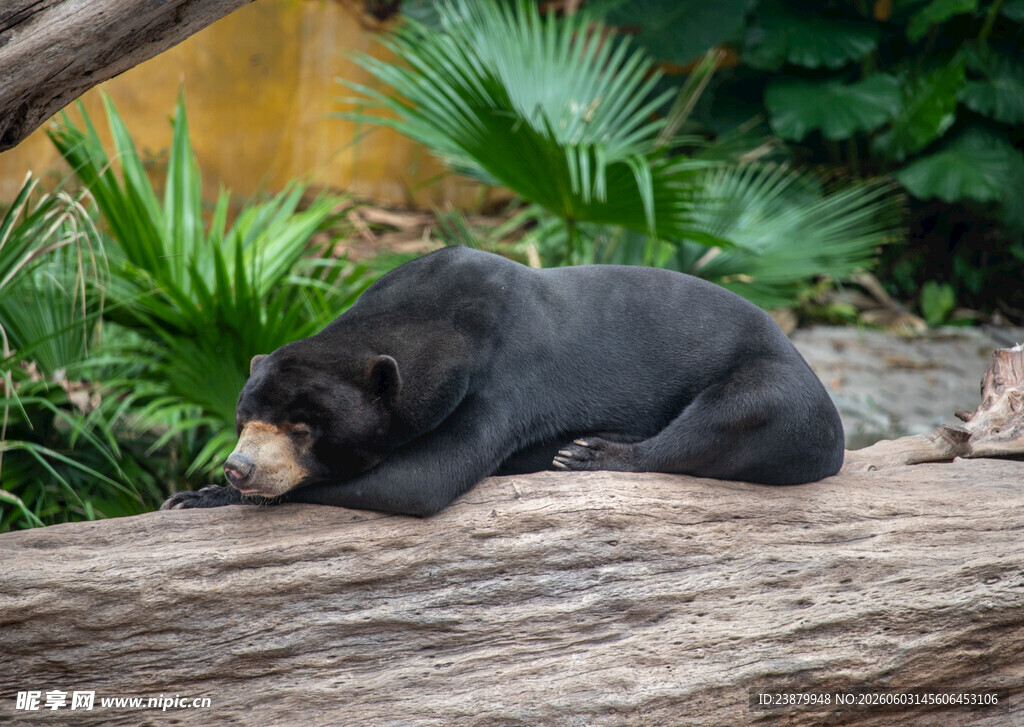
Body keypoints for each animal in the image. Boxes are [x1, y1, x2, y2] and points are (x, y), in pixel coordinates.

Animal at [161, 246, 844, 516]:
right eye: (244, 419)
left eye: (302, 428)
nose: (239, 468)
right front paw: (194, 493)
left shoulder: (499, 380)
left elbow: (420, 479)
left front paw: (200, 498)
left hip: (778, 387)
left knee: (728, 418)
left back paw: (585, 454)